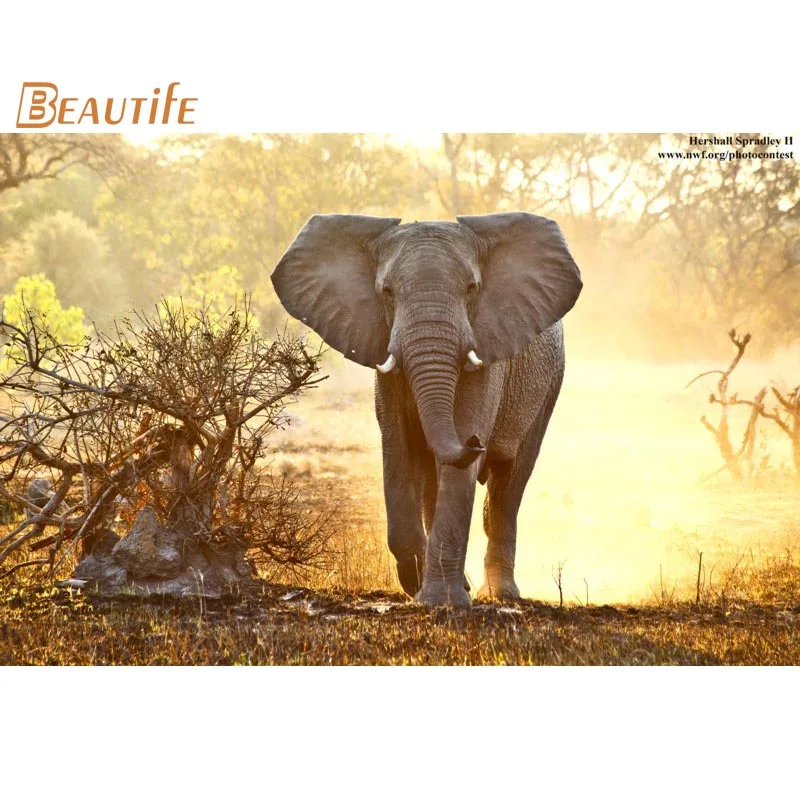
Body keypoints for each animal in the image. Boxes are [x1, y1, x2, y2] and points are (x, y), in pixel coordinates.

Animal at [271, 212, 582, 607]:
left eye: (471, 289)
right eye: (387, 293)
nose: (477, 443)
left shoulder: (488, 353)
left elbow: (459, 453)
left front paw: (441, 600)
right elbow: (399, 447)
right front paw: (418, 585)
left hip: (550, 383)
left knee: (509, 484)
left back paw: (501, 594)